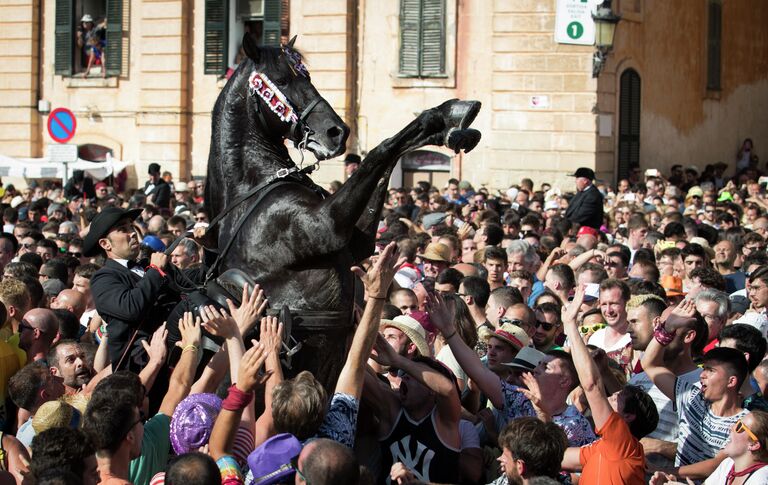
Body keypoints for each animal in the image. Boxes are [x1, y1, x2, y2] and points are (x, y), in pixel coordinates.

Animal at [204, 34, 480, 390]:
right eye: (281, 80)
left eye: (307, 77)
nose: (337, 132)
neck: (254, 184)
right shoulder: (327, 226)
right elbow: (381, 149)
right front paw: (441, 116)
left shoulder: (356, 241)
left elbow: (387, 158)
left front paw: (453, 122)